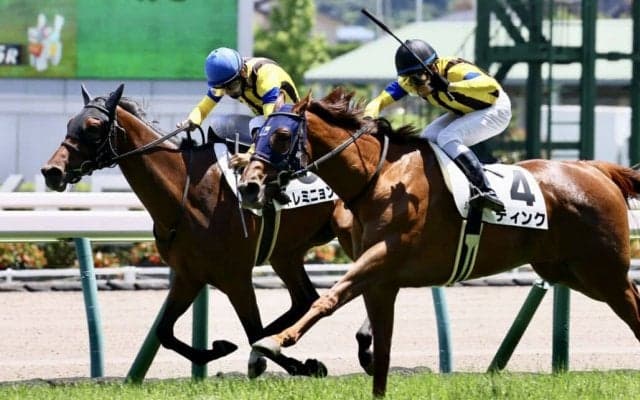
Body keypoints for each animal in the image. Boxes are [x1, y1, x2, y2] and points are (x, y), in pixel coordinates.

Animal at [41, 83, 355, 378]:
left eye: (93, 127)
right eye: (70, 122)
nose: (51, 171)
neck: (188, 190)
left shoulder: (236, 277)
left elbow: (253, 331)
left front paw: (293, 363)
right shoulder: (188, 276)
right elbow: (165, 332)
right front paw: (220, 348)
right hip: (285, 254)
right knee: (304, 299)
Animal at [237, 87, 640, 397]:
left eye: (281, 136)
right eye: (256, 134)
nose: (248, 186)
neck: (379, 178)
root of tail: (597, 170)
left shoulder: (381, 258)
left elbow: (329, 299)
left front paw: (273, 341)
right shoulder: (381, 281)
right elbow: (379, 354)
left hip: (604, 272)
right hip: (571, 272)